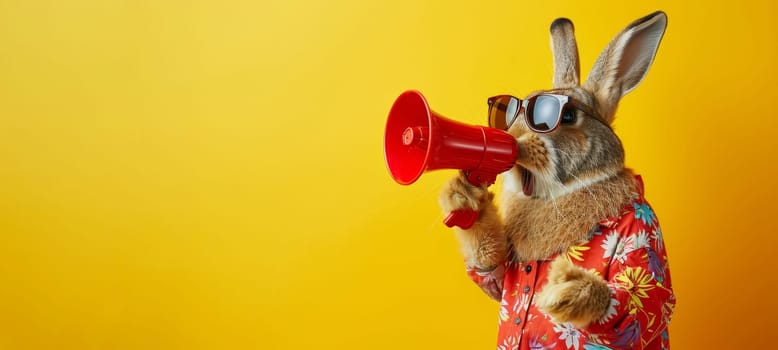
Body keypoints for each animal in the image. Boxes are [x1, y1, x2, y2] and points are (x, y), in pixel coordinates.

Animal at [440, 10, 676, 350]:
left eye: (566, 116)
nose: (514, 140)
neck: (556, 194)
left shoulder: (644, 234)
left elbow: (642, 306)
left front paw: (570, 290)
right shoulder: (500, 271)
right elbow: (492, 274)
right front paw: (460, 195)